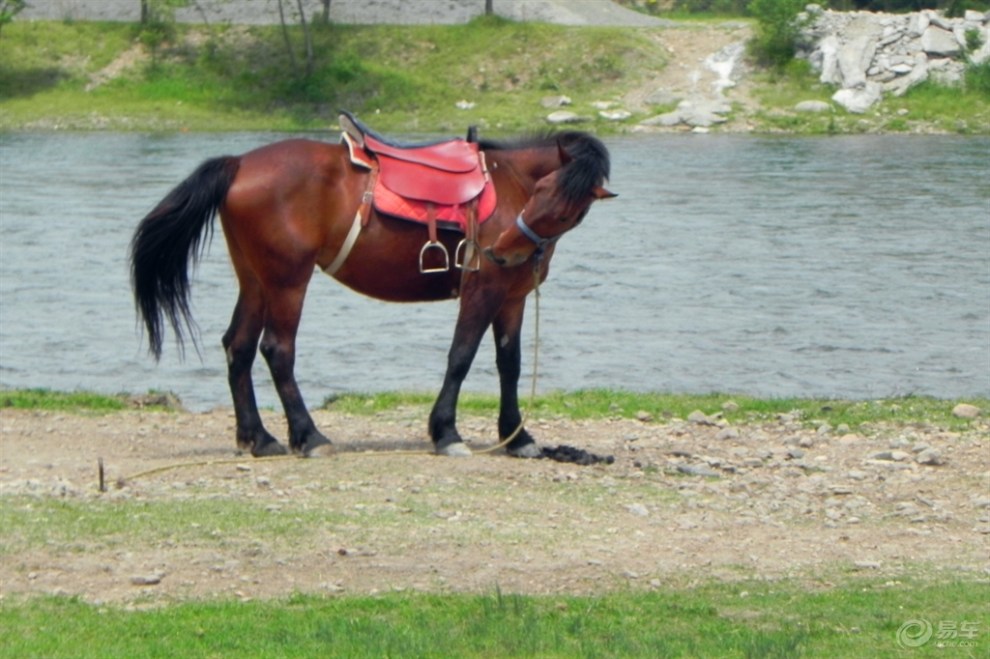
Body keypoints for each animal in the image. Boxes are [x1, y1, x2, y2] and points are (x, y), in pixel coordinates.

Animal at [129, 120, 616, 458]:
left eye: (565, 211)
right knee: (276, 350)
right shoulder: (483, 290)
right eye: (541, 192)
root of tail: (240, 163)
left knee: (239, 347)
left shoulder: (512, 297)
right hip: (288, 280)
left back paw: (259, 437)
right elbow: (460, 357)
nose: (499, 250)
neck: (508, 184)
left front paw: (517, 436)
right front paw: (446, 433)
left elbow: (509, 364)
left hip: (256, 280)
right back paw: (309, 436)